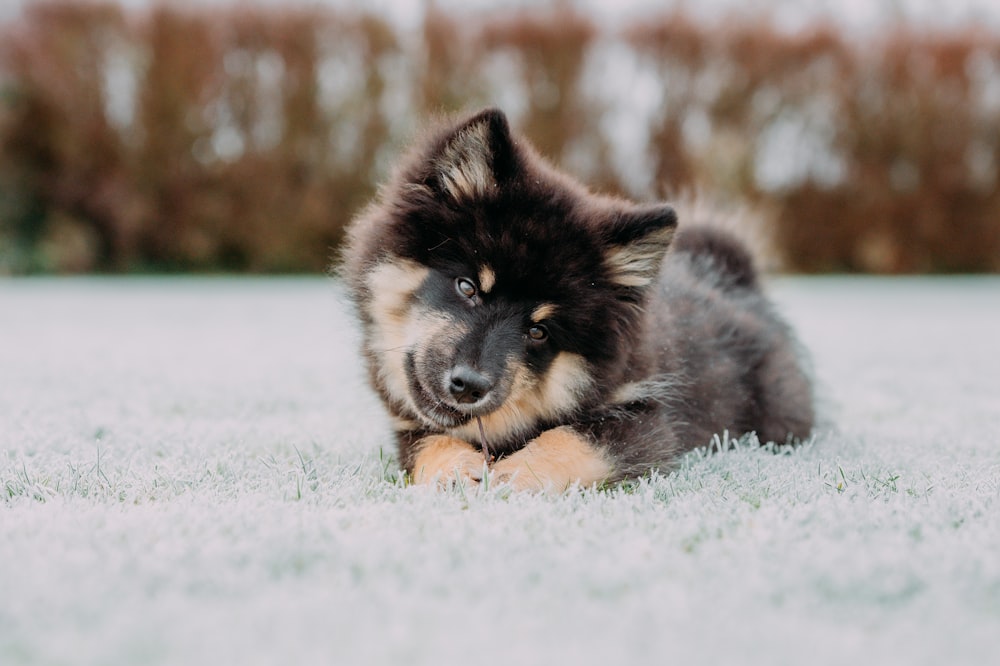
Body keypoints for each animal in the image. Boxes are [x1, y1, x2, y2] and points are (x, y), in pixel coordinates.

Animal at [344, 105, 812, 488]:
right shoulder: (408, 427)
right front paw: (455, 468)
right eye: (467, 287)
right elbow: (428, 444)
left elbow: (573, 438)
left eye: (539, 331)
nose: (469, 385)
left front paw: (517, 472)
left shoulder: (646, 419)